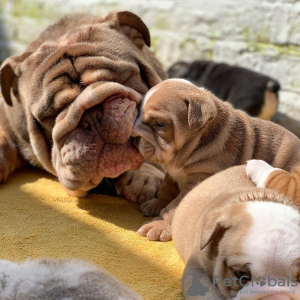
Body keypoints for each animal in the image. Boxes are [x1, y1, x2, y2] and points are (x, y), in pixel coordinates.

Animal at [133, 78, 300, 241]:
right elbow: (166, 190)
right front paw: (156, 204)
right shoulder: (172, 175)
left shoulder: (199, 180)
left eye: (160, 124)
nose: (133, 137)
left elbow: (176, 207)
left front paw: (159, 225)